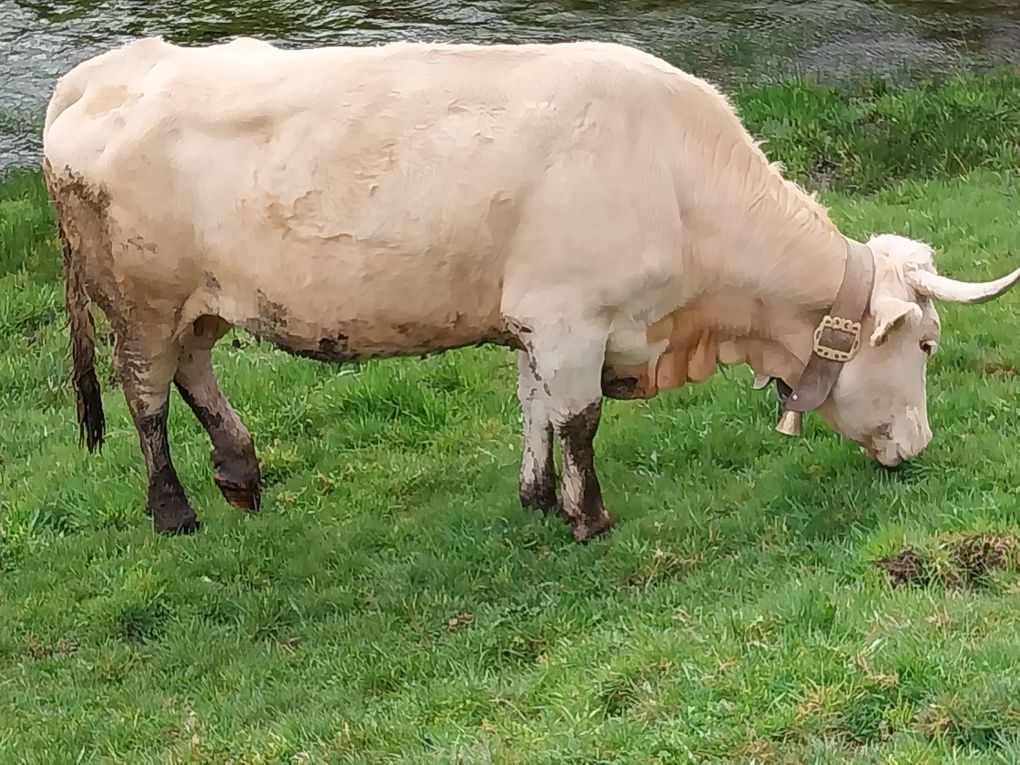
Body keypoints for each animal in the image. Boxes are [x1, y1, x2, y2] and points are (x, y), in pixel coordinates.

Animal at [41, 35, 1020, 538]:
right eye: (927, 342)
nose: (919, 444)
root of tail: (104, 67)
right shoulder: (571, 316)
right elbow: (578, 417)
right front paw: (589, 515)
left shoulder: (539, 320)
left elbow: (534, 406)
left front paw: (537, 494)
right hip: (140, 300)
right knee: (145, 395)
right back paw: (175, 508)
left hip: (201, 300)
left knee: (194, 372)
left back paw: (241, 471)